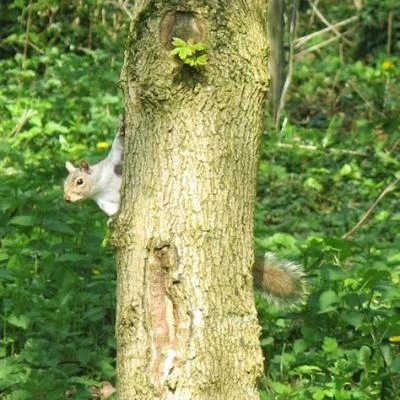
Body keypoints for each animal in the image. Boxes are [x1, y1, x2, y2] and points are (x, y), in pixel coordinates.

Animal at [63, 117, 306, 304]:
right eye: (65, 183)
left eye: (79, 181)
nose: (66, 198)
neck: (100, 185)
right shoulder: (102, 200)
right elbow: (110, 209)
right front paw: (111, 219)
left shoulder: (113, 163)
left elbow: (119, 147)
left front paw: (121, 126)